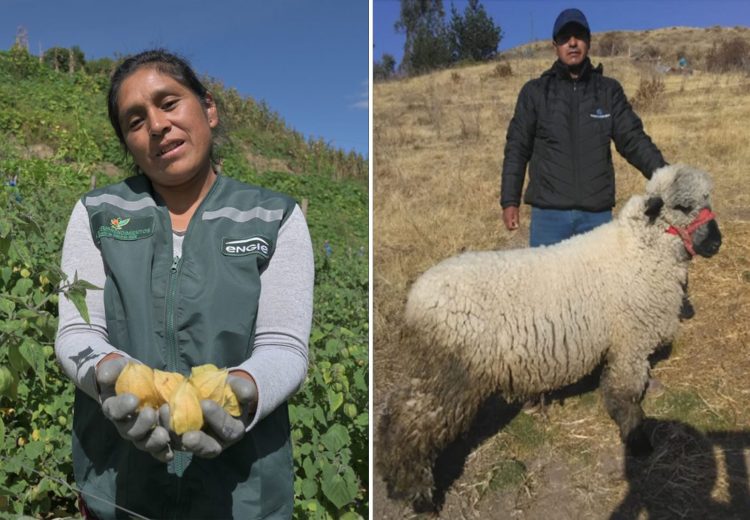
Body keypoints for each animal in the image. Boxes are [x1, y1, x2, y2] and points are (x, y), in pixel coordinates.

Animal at [378, 164, 724, 512]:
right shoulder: (631, 341)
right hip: (451, 373)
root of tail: (416, 300)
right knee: (411, 426)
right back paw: (416, 495)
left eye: (708, 199)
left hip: (434, 370)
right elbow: (625, 394)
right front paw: (637, 440)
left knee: (397, 411)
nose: (716, 243)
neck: (639, 249)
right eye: (682, 206)